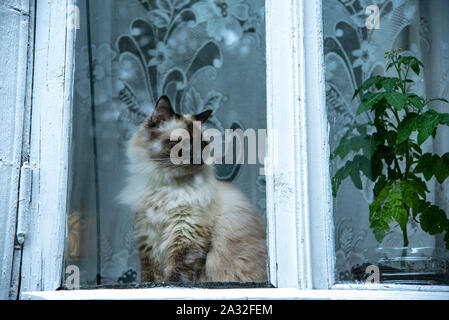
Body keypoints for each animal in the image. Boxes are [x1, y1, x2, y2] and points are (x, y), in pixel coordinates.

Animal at [118, 95, 266, 282]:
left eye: (202, 144)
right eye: (180, 143)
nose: (198, 159)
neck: (167, 184)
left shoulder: (186, 232)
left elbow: (177, 273)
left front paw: (168, 284)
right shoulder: (147, 234)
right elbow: (150, 274)